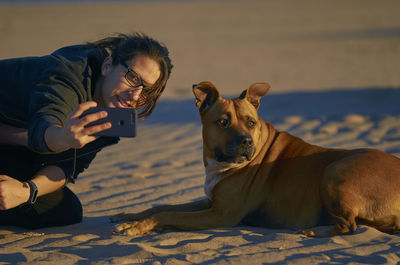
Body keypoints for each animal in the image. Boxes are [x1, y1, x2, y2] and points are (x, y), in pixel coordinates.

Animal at [111, 80, 400, 235]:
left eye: (251, 122)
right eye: (223, 122)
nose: (246, 141)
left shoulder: (221, 214)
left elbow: (168, 214)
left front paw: (135, 227)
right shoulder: (210, 201)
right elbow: (162, 206)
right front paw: (129, 216)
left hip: (335, 170)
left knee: (349, 225)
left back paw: (312, 231)